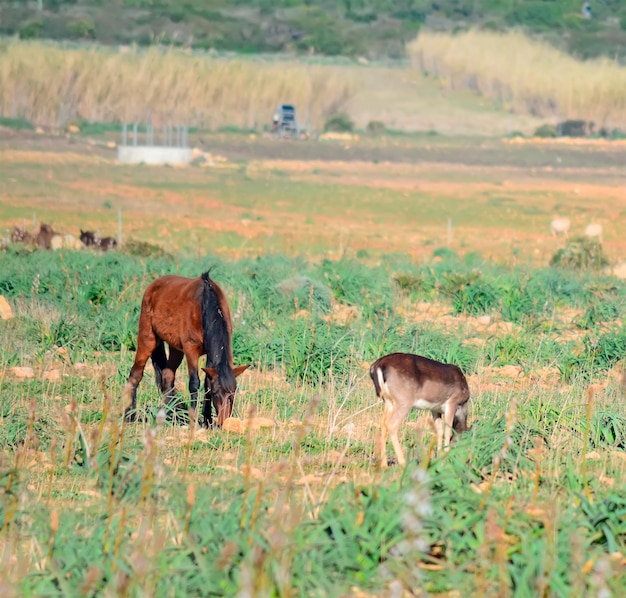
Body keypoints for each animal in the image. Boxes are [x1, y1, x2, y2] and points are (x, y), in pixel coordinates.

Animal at [122, 274, 249, 428]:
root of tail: (153, 286)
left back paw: (169, 414)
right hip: (147, 338)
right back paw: (130, 416)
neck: (206, 305)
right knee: (136, 374)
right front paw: (193, 420)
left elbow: (207, 382)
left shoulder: (210, 355)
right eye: (216, 393)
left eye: (233, 392)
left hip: (176, 349)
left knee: (167, 377)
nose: (223, 422)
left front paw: (207, 420)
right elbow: (194, 383)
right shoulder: (190, 349)